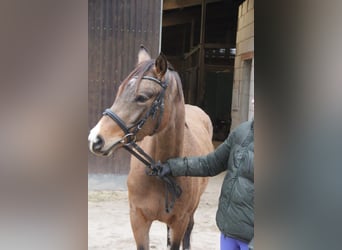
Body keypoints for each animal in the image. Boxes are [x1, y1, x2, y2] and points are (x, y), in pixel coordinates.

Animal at [89, 47, 214, 250]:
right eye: (119, 91)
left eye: (142, 97)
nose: (96, 139)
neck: (161, 173)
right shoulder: (138, 219)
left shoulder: (180, 221)